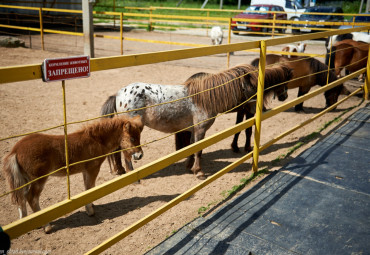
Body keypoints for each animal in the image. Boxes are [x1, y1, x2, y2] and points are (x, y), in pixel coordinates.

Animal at [2, 115, 144, 233]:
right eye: (132, 138)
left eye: (139, 137)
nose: (139, 155)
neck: (96, 141)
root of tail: (15, 150)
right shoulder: (93, 169)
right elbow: (90, 188)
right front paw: (91, 211)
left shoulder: (85, 171)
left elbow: (87, 189)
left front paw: (90, 207)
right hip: (38, 179)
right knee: (31, 198)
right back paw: (46, 226)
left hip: (25, 179)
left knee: (21, 197)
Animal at [101, 63, 292, 179]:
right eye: (252, 87)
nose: (255, 108)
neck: (205, 98)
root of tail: (118, 94)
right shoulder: (200, 129)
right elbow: (199, 150)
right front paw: (199, 171)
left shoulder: (193, 129)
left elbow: (192, 148)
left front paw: (189, 165)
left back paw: (120, 170)